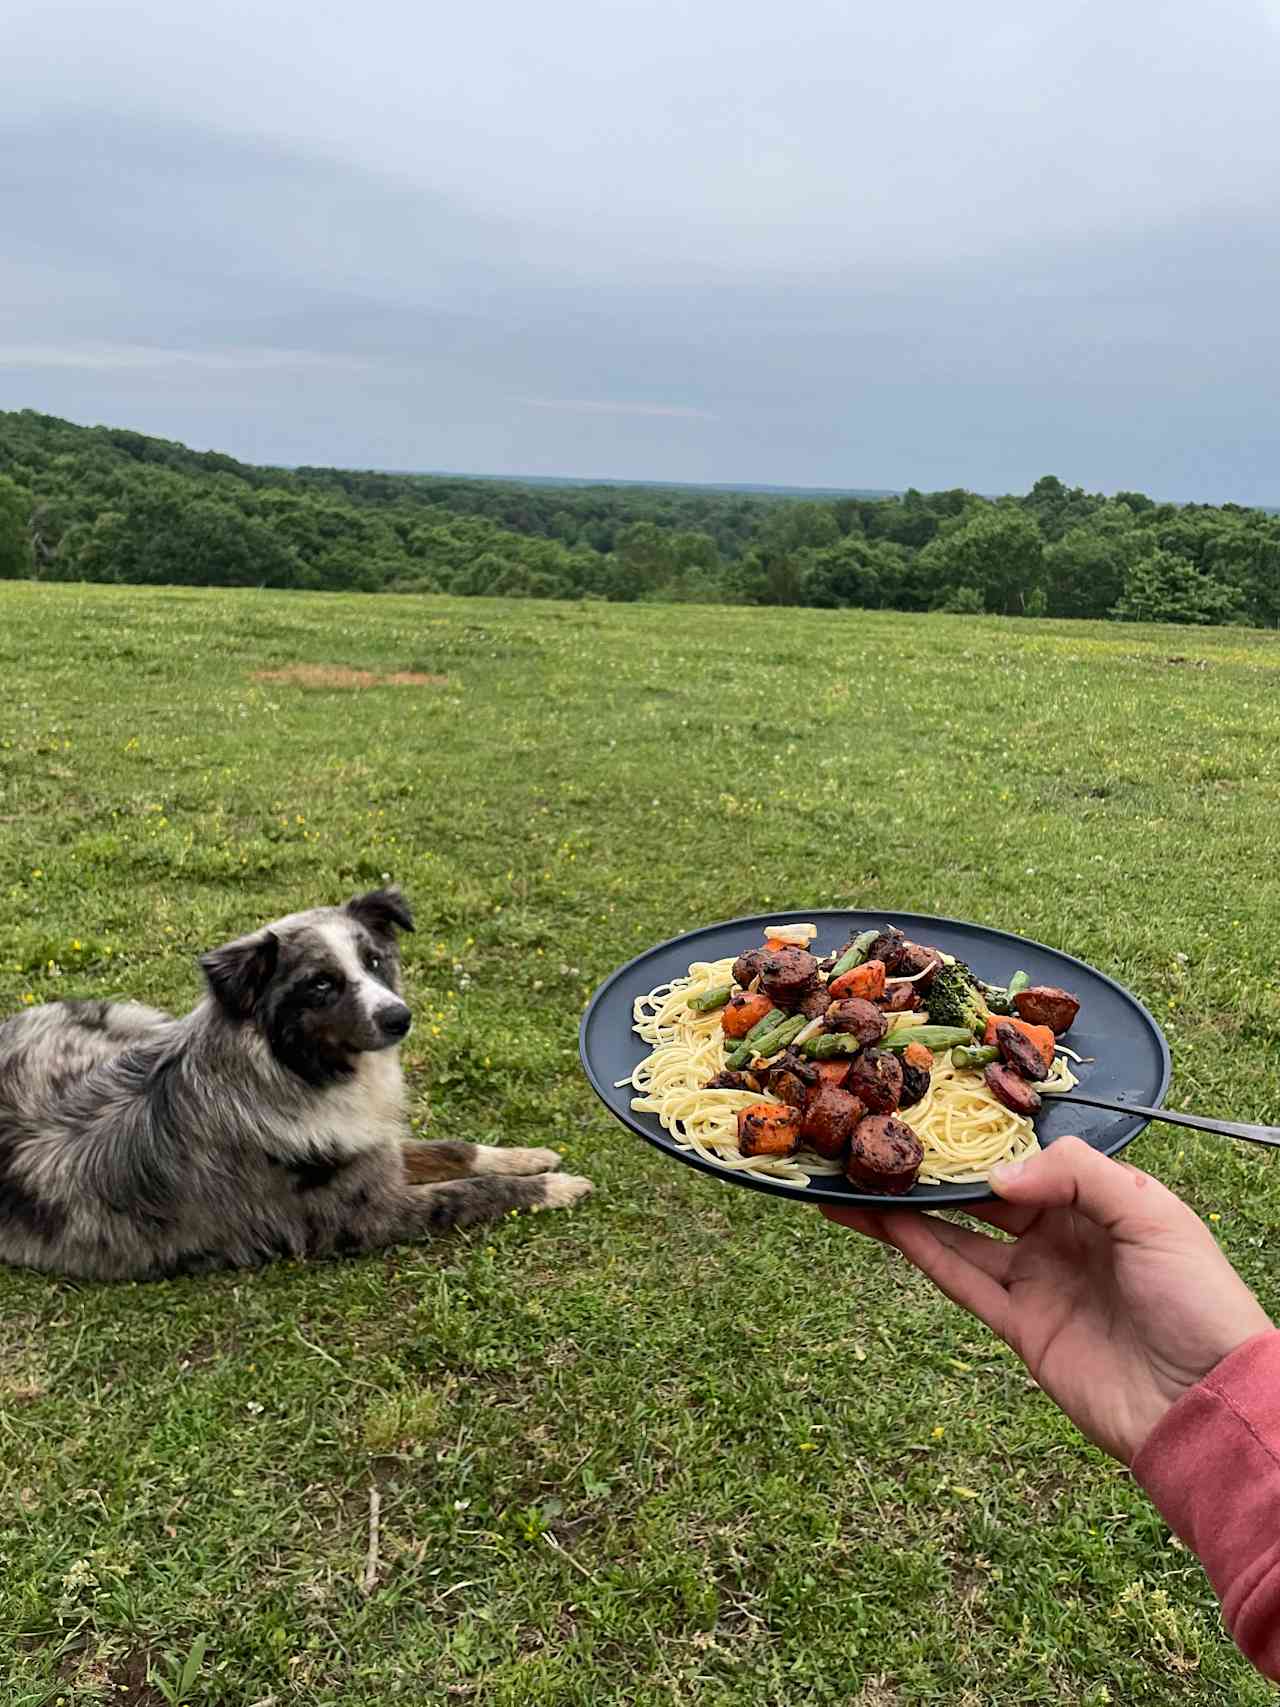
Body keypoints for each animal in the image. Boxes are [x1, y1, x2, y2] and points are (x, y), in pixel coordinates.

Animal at [0, 894, 590, 1283]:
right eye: (322, 985)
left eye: (375, 961)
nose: (399, 1018)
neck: (294, 1072)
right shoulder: (366, 1216)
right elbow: (469, 1192)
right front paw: (553, 1187)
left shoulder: (369, 1146)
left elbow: (453, 1150)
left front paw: (526, 1156)